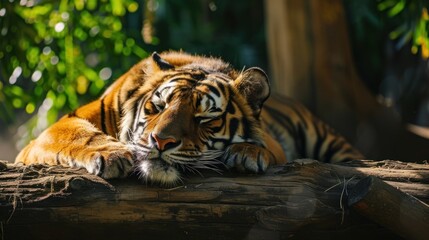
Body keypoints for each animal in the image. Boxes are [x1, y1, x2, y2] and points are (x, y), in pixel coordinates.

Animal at [17, 51, 364, 186]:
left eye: (204, 119)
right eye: (157, 107)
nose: (160, 141)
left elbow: (264, 149)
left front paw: (248, 153)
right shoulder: (46, 134)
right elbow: (75, 134)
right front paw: (111, 154)